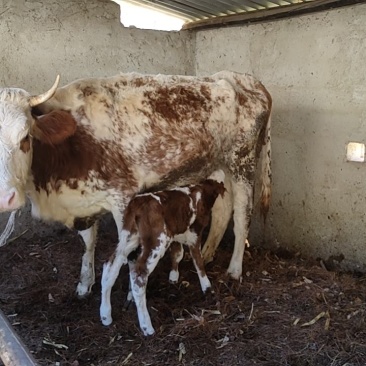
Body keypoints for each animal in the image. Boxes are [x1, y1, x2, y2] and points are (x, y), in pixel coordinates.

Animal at [0, 69, 272, 300]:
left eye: (25, 138)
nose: (5, 198)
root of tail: (244, 78)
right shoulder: (84, 200)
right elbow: (88, 242)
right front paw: (84, 284)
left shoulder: (123, 197)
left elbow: (128, 250)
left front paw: (131, 292)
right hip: (219, 165)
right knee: (223, 209)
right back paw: (206, 253)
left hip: (242, 162)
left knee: (242, 215)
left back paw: (234, 269)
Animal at [100, 170, 226, 336]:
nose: (221, 171)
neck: (202, 191)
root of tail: (137, 203)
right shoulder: (195, 234)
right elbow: (198, 261)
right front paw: (207, 287)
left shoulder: (177, 233)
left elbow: (178, 253)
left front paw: (173, 277)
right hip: (157, 241)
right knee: (139, 276)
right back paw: (147, 327)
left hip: (129, 237)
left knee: (110, 266)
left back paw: (105, 315)